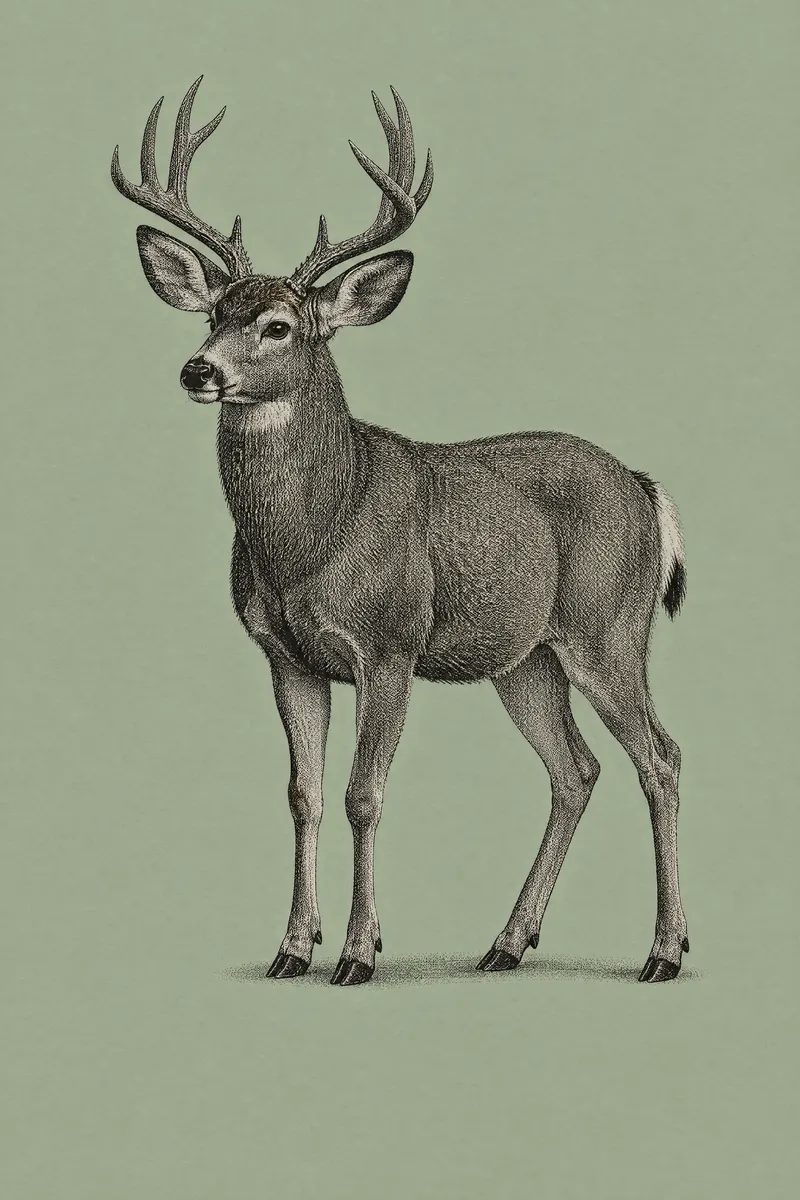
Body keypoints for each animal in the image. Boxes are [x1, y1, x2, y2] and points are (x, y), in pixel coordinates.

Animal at [111, 78, 689, 987]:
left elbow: (363, 794)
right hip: (525, 660)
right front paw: (291, 949)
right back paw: (506, 943)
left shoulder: (390, 645)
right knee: (576, 769)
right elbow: (304, 796)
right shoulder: (286, 658)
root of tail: (643, 487)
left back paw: (663, 952)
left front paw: (356, 953)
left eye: (278, 326)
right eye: (212, 314)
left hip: (609, 630)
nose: (198, 369)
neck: (316, 535)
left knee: (660, 757)